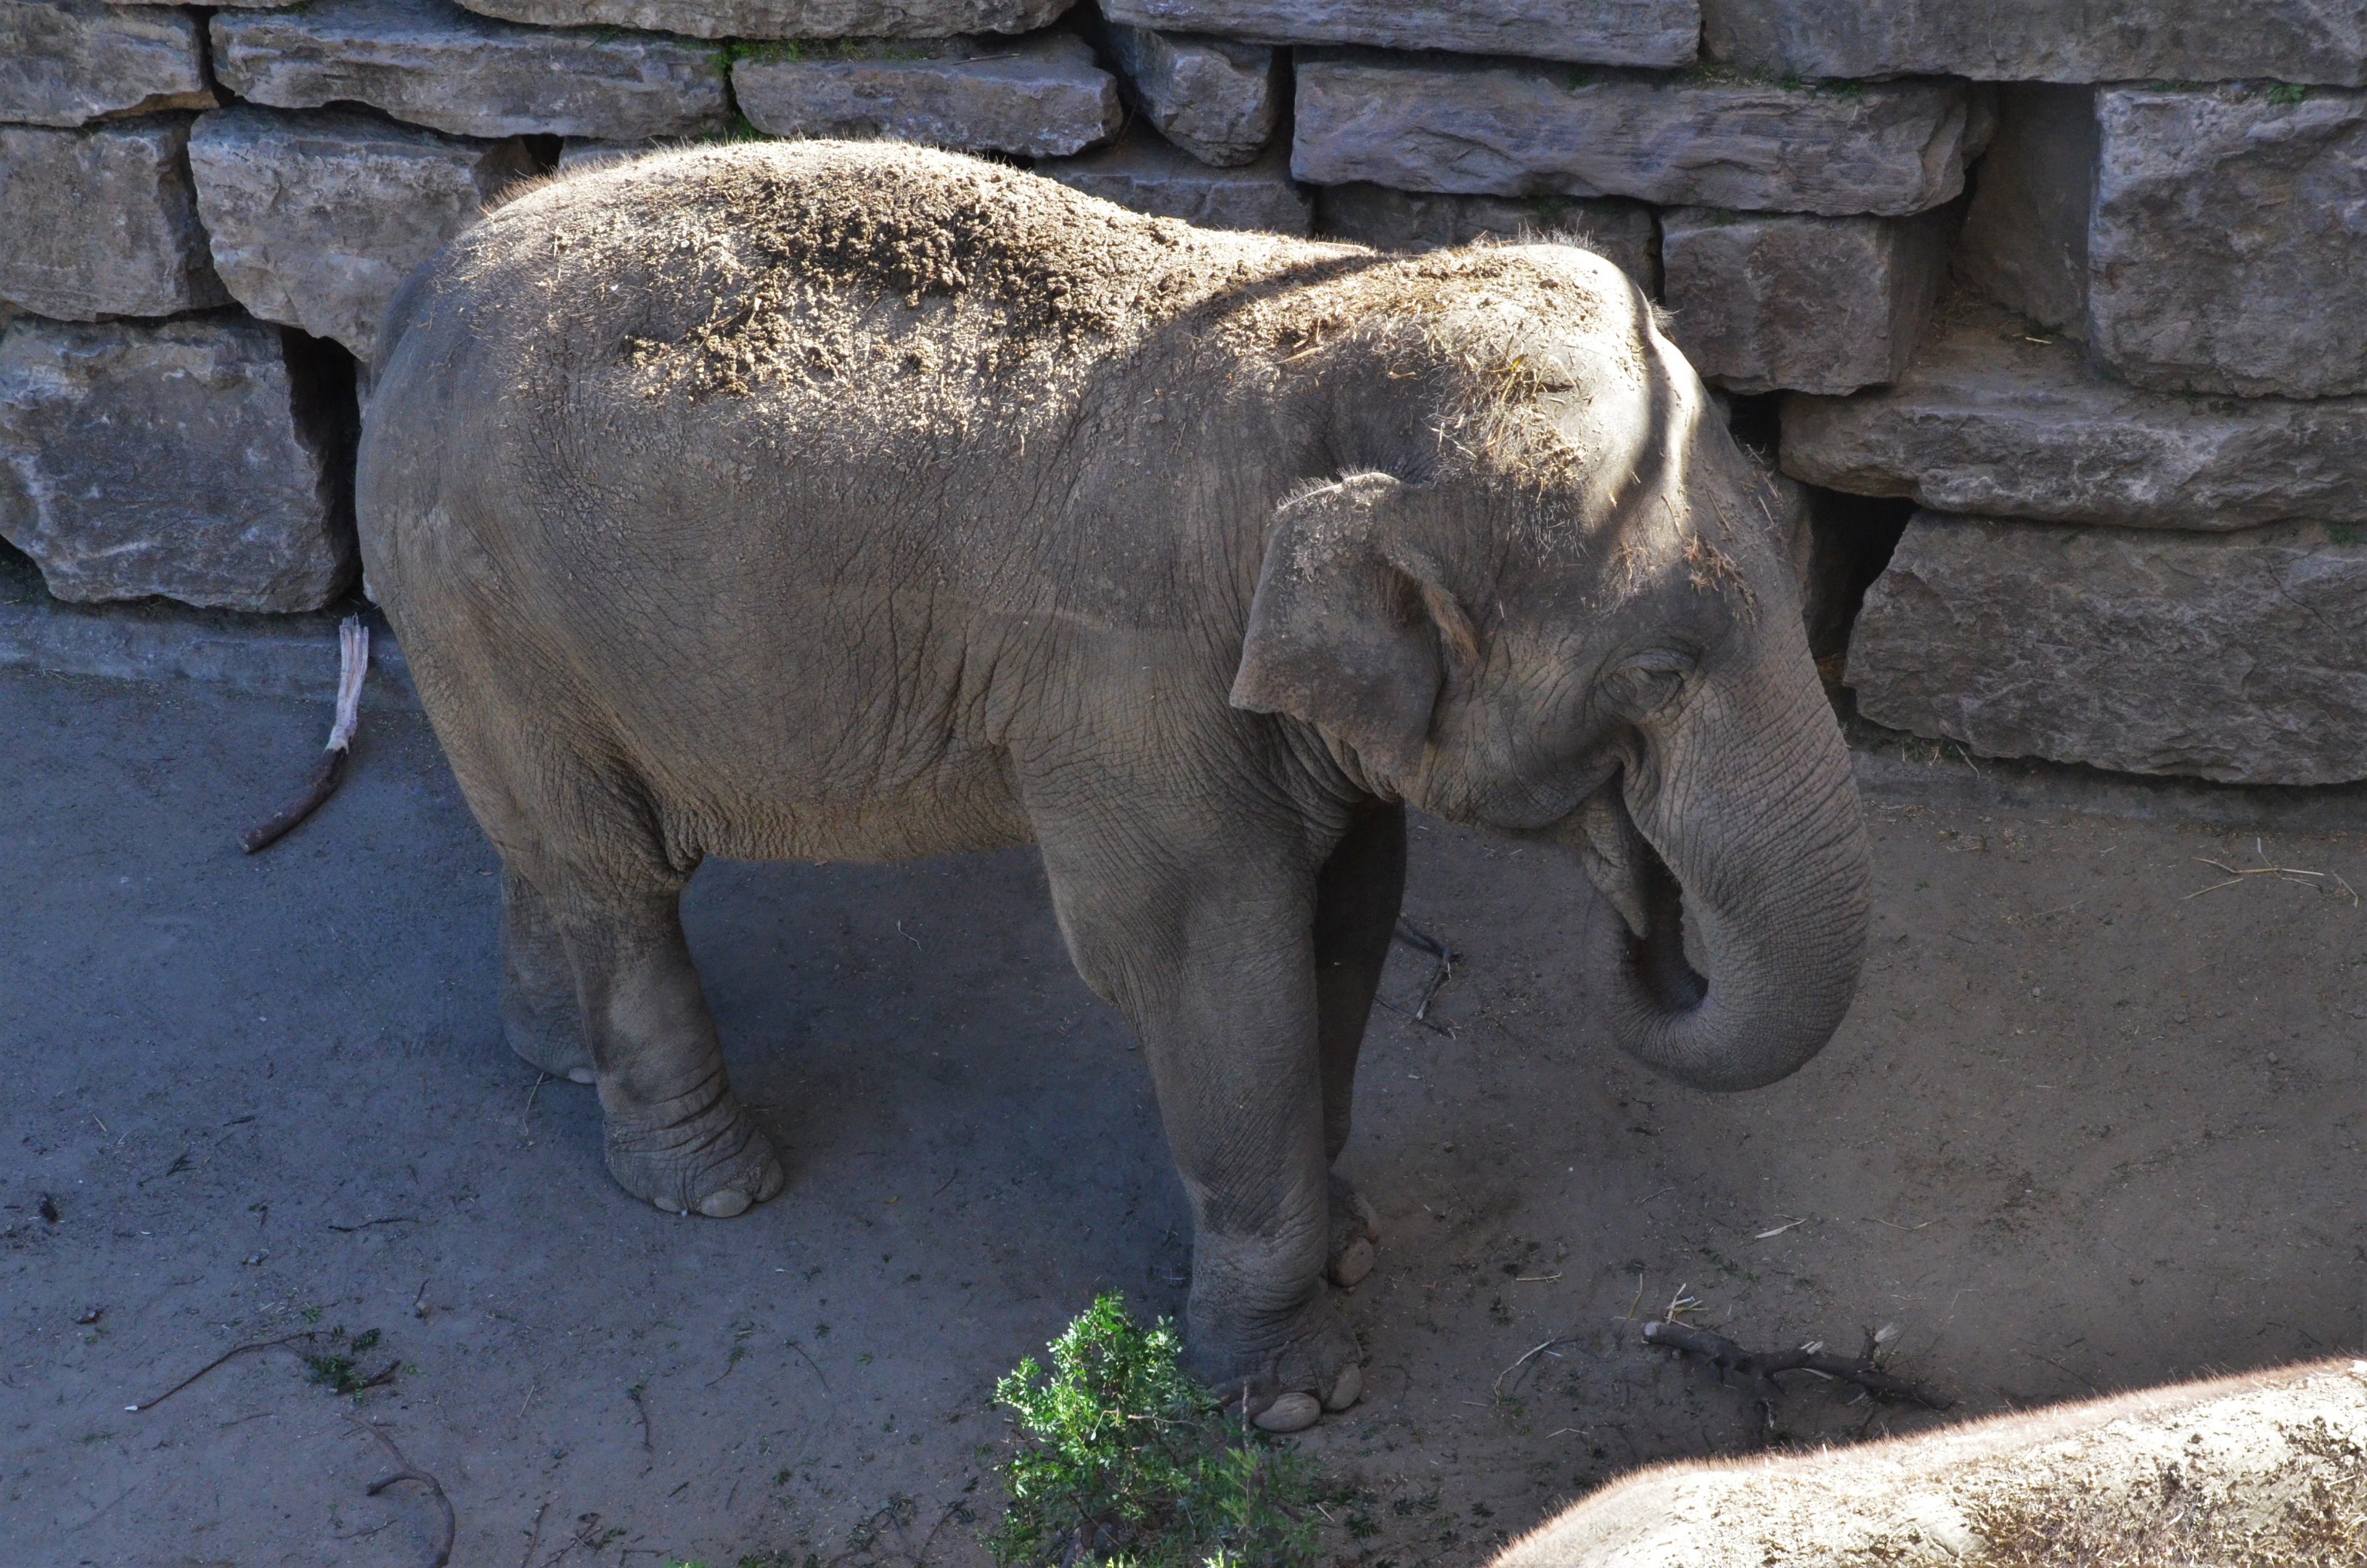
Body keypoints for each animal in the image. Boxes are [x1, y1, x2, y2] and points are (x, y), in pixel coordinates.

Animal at [356, 140, 1871, 1432]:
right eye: (1659, 673)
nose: (1646, 914)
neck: (1334, 330)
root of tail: (425, 283)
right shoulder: (1130, 683)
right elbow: (1206, 965)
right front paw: (1296, 1397)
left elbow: (1349, 917)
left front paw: (1352, 1240)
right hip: (483, 590)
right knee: (615, 872)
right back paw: (713, 1184)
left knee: (549, 848)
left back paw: (555, 1055)